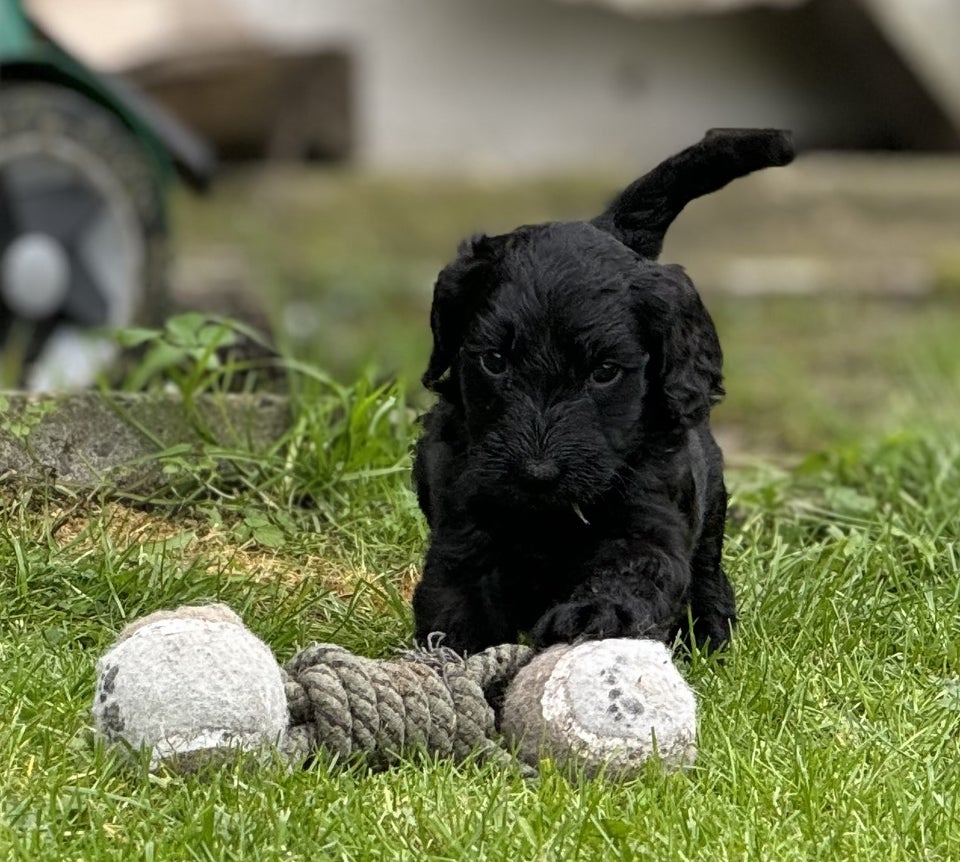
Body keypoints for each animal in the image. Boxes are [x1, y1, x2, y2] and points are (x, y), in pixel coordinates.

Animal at [412, 130, 796, 656]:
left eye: (605, 372)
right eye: (494, 361)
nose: (537, 474)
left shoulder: (649, 516)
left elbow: (630, 570)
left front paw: (594, 615)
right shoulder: (465, 519)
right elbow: (456, 595)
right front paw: (453, 658)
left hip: (711, 497)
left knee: (706, 566)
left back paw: (708, 630)